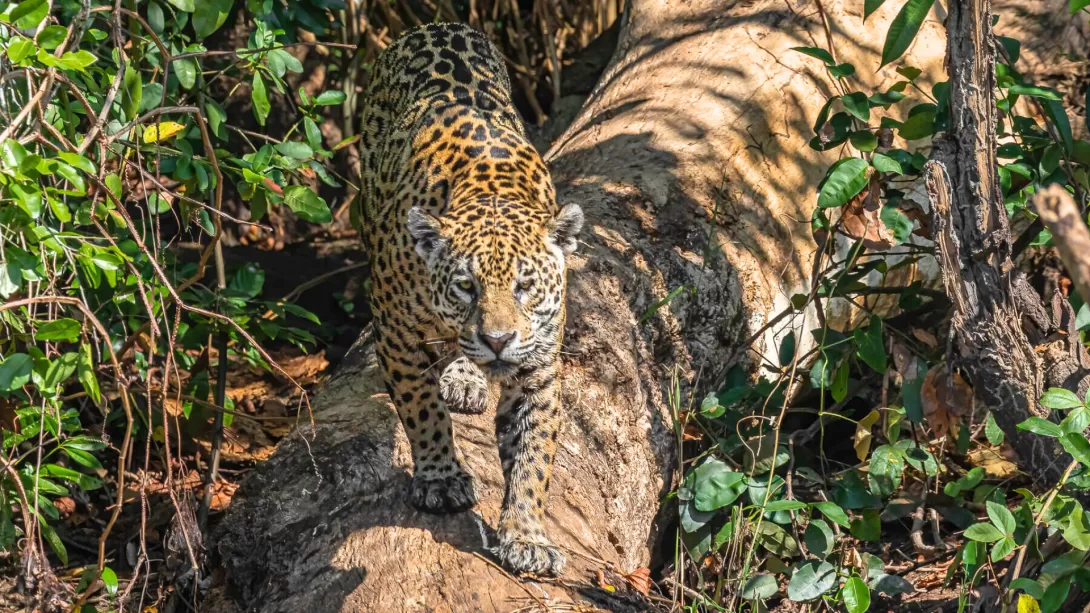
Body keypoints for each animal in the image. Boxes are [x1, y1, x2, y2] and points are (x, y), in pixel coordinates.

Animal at [357, 22, 583, 576]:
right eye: (466, 286)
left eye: (525, 286)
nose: (498, 339)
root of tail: (434, 25)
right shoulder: (395, 334)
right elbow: (422, 410)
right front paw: (441, 478)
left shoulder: (538, 366)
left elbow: (534, 454)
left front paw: (527, 535)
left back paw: (465, 374)